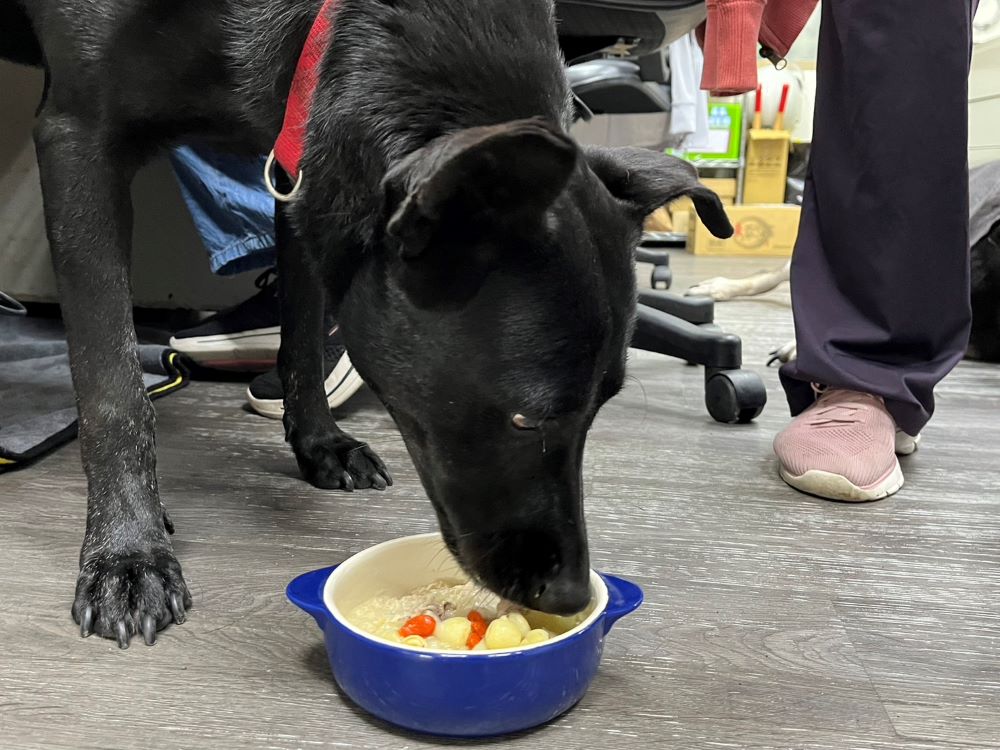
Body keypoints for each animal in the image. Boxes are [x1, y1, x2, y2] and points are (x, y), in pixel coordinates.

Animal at [3, 0, 732, 648]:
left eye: (602, 406)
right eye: (528, 419)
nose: (573, 594)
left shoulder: (296, 160)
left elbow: (302, 330)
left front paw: (321, 443)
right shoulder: (78, 135)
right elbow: (113, 386)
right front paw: (128, 552)